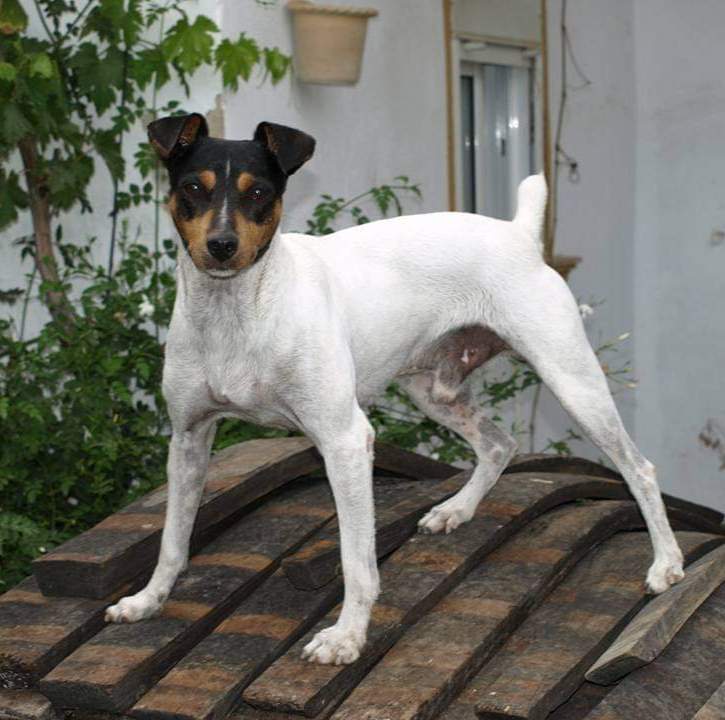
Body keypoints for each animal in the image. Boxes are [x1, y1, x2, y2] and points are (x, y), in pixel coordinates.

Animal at [103, 115, 684, 668]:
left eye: (258, 192)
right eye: (193, 188)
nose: (221, 246)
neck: (240, 313)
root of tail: (518, 234)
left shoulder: (344, 440)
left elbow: (355, 560)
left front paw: (346, 638)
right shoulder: (188, 439)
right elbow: (172, 539)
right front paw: (148, 600)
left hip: (572, 382)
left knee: (638, 468)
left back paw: (667, 564)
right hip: (436, 393)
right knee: (499, 444)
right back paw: (456, 510)